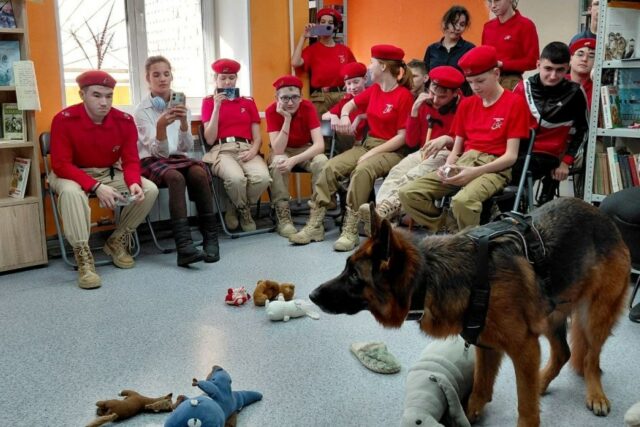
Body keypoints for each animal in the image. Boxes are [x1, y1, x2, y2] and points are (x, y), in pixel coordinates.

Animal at [310, 197, 629, 427]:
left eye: (354, 276)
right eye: (346, 268)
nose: (311, 295)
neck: (430, 277)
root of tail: (603, 216)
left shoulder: (524, 348)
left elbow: (526, 410)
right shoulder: (486, 345)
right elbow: (480, 391)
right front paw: (468, 413)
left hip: (594, 316)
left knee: (590, 359)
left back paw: (595, 394)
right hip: (550, 315)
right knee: (563, 353)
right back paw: (540, 382)